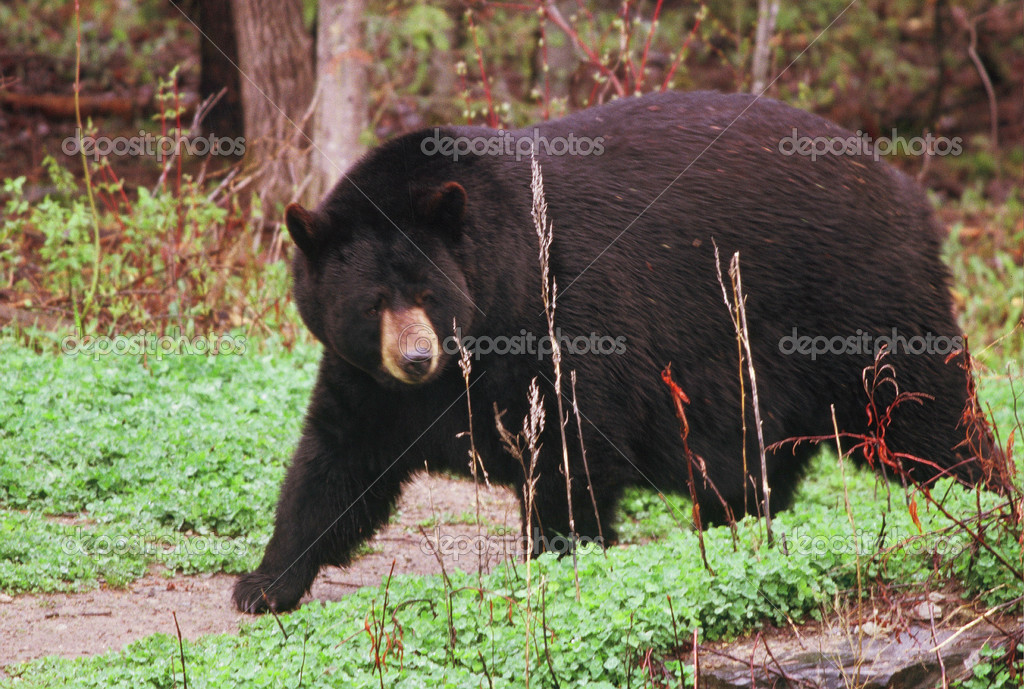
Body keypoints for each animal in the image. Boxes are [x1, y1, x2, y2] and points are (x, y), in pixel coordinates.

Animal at [233, 91, 999, 614]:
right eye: (371, 303)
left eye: (426, 289)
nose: (418, 357)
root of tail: (905, 188)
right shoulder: (368, 381)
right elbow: (333, 463)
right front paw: (263, 583)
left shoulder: (562, 323)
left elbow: (571, 449)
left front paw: (554, 557)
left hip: (858, 305)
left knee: (928, 414)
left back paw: (987, 497)